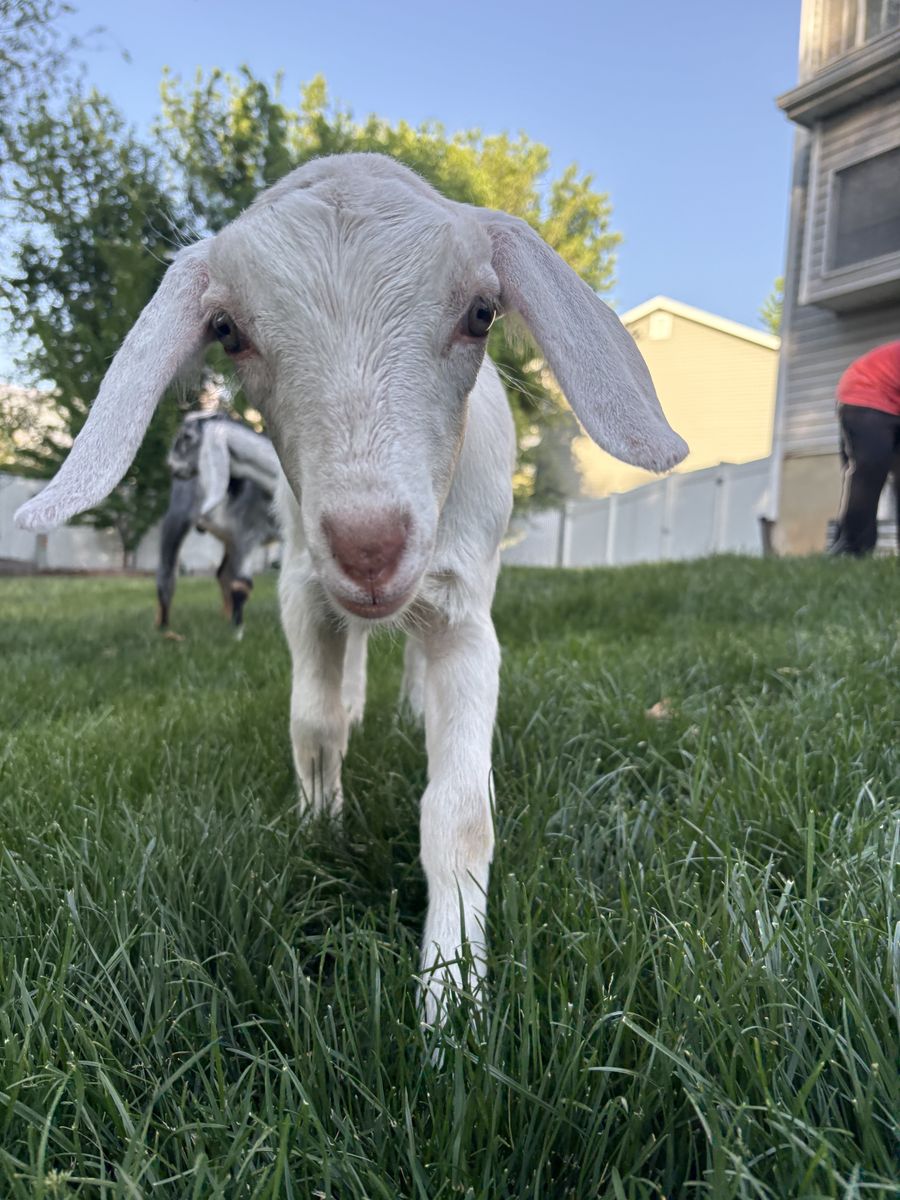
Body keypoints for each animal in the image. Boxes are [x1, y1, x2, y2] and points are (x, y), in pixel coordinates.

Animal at [157, 412, 280, 633]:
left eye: (187, 436)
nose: (170, 464)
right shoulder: (246, 533)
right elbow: (242, 584)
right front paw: (238, 633)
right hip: (177, 515)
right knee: (167, 572)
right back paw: (163, 628)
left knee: (223, 573)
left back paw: (226, 616)